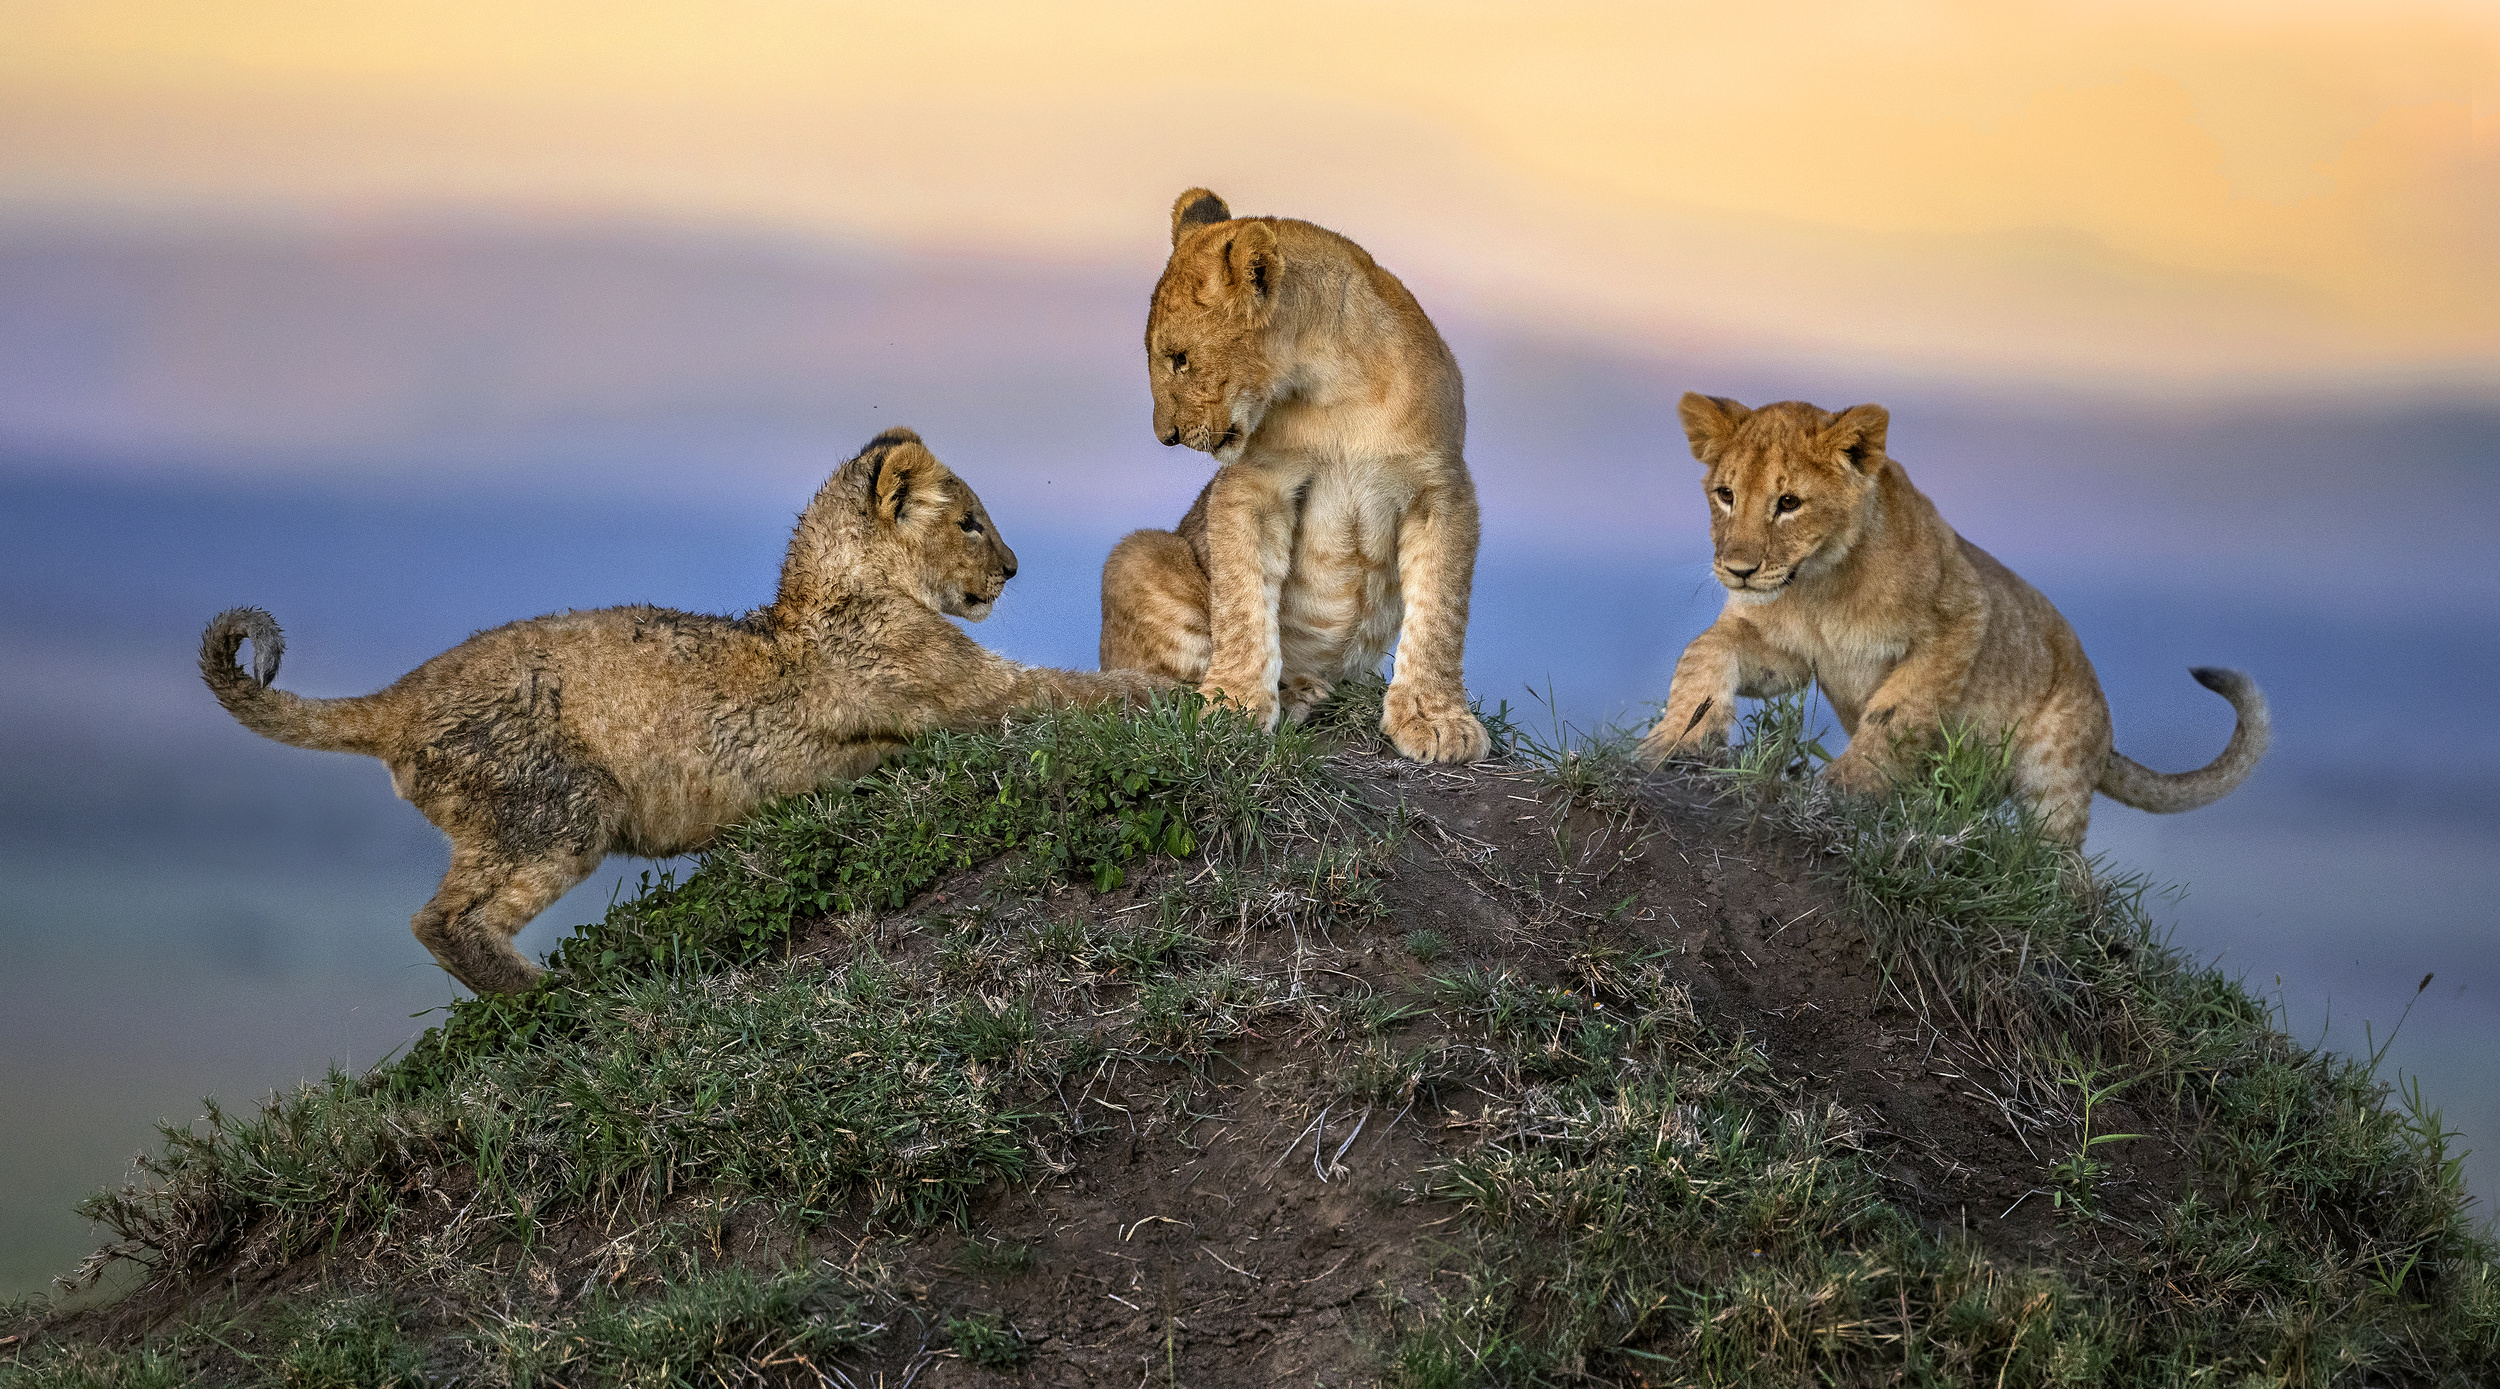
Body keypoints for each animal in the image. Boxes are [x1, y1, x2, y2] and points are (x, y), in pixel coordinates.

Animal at [201, 428, 1169, 994]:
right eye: (969, 520)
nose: (1011, 568)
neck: (834, 591)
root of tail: (399, 696)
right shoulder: (974, 695)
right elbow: (1077, 690)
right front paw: (1175, 693)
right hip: (559, 806)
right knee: (443, 919)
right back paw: (549, 999)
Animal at [1097, 188, 1489, 763]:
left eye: (1180, 359)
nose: (1165, 436)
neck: (1336, 386)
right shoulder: (1253, 485)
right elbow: (1243, 604)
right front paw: (1235, 707)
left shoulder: (1441, 488)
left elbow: (1440, 613)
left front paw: (1436, 720)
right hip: (1139, 554)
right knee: (1154, 683)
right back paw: (1299, 690)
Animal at [1637, 395, 2268, 847]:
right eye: (1725, 495)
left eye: (1788, 503)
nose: (1738, 570)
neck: (1819, 586)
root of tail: (2107, 732)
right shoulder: (1784, 651)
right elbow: (1703, 651)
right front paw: (1675, 741)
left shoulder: (1962, 617)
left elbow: (1896, 714)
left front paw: (1838, 791)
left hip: (2055, 776)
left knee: (2066, 874)